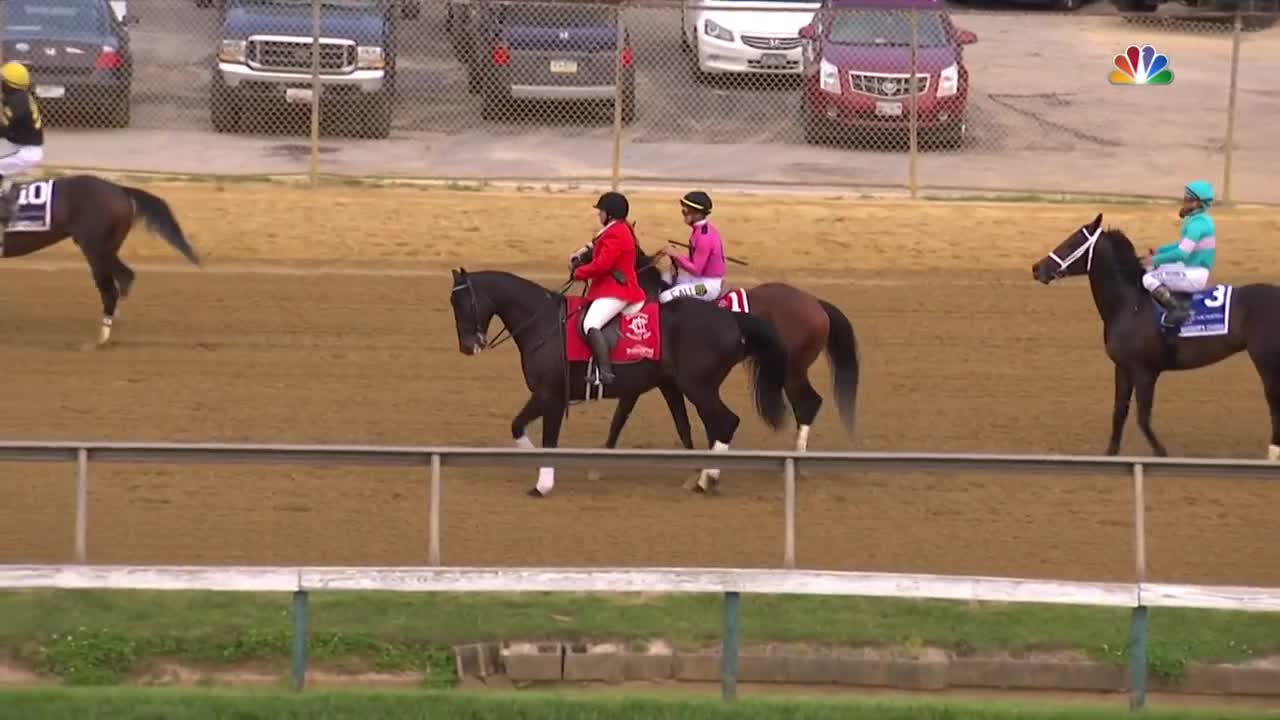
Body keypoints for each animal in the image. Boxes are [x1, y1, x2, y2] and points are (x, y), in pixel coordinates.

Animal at [1029, 212, 1280, 458]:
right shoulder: (1123, 367)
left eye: (1072, 242)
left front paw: (1161, 452)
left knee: (1273, 400)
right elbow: (1119, 411)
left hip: (1266, 361)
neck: (1130, 305)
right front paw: (1110, 453)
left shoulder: (1145, 371)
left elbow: (1142, 417)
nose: (1036, 268)